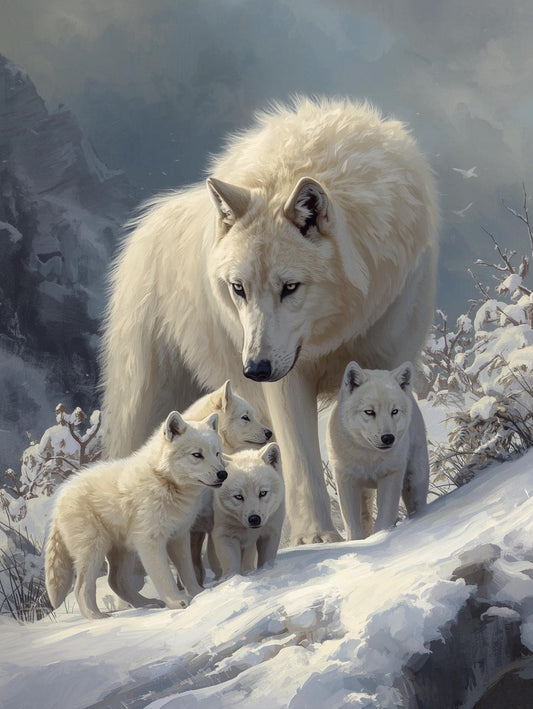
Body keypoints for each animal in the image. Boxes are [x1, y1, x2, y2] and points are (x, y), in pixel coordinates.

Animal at [44, 411, 225, 619]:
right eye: (197, 455)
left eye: (217, 453)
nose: (223, 474)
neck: (163, 482)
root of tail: (59, 499)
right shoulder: (150, 542)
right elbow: (164, 575)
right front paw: (177, 602)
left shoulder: (178, 537)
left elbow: (187, 572)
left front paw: (199, 593)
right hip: (94, 551)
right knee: (82, 587)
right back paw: (97, 616)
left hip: (122, 551)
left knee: (116, 581)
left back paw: (146, 604)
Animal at [210, 443, 285, 578]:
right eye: (239, 496)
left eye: (262, 493)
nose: (254, 519)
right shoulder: (223, 534)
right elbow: (231, 564)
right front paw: (231, 579)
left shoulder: (270, 532)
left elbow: (266, 560)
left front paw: (265, 571)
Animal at [326, 361, 429, 540]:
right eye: (369, 411)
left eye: (394, 411)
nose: (388, 438)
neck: (369, 458)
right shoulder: (346, 479)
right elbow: (351, 523)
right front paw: (358, 542)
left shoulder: (391, 474)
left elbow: (385, 516)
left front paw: (381, 536)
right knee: (365, 516)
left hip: (415, 478)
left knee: (417, 502)